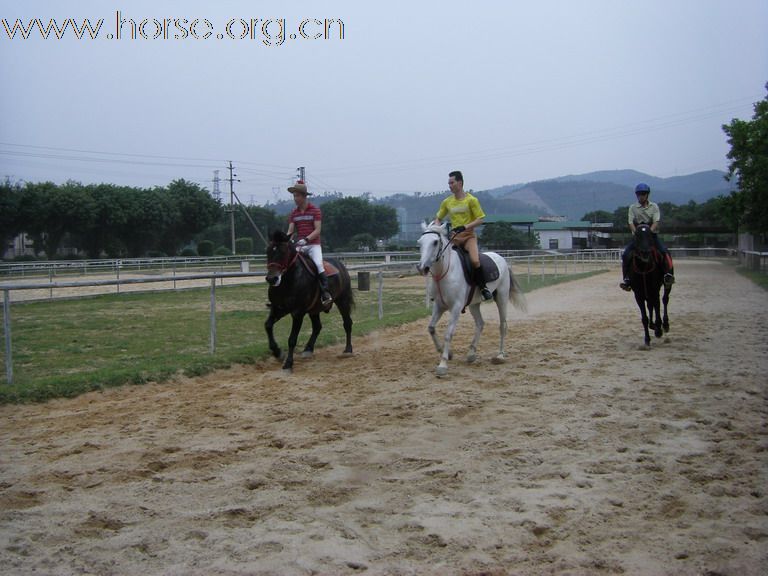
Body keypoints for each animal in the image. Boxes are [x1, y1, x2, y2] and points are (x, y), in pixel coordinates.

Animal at [264, 231, 354, 372]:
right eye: (268, 251)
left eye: (283, 252)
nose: (272, 279)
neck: (288, 281)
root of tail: (340, 265)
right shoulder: (278, 308)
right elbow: (268, 325)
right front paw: (277, 352)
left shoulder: (297, 313)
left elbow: (292, 339)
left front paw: (288, 363)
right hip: (314, 309)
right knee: (317, 327)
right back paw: (308, 349)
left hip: (342, 301)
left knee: (347, 323)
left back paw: (348, 350)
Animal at [416, 218, 524, 376]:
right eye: (420, 242)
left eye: (435, 242)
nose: (422, 267)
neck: (445, 272)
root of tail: (500, 257)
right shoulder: (439, 306)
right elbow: (431, 328)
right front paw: (446, 353)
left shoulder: (455, 307)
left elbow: (448, 334)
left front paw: (443, 364)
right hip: (474, 304)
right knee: (480, 323)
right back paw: (471, 353)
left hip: (502, 298)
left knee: (502, 325)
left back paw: (500, 355)